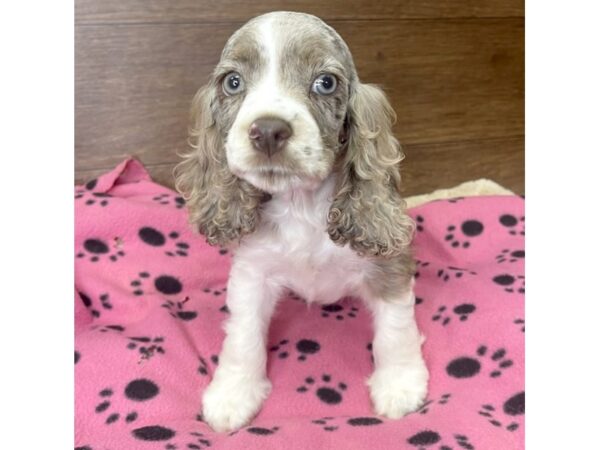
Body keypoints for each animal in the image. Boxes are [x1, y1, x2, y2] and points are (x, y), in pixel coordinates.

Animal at [176, 10, 428, 432]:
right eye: (233, 82)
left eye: (325, 83)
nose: (267, 130)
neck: (302, 203)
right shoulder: (251, 272)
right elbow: (243, 336)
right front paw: (234, 394)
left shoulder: (388, 265)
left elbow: (395, 330)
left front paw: (400, 384)